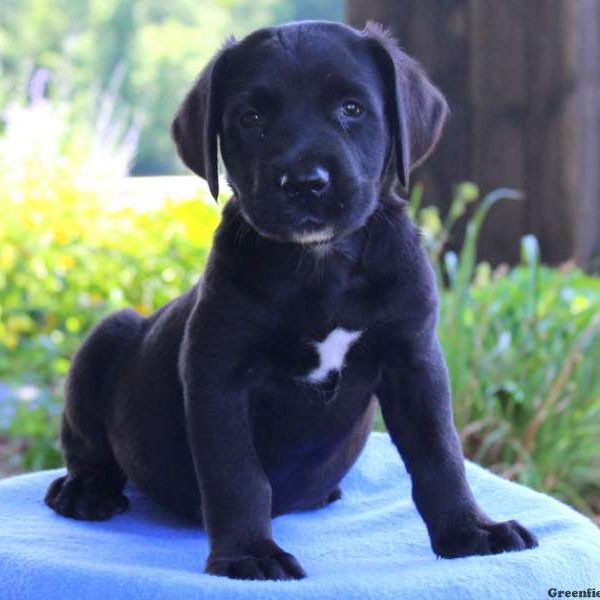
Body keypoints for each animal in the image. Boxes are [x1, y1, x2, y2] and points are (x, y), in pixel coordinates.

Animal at [44, 21, 536, 580]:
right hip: (105, 338)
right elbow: (238, 476)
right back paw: (85, 489)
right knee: (85, 443)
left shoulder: (414, 361)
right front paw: (249, 553)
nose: (305, 183)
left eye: (352, 108)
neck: (321, 266)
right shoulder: (219, 375)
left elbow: (441, 456)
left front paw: (470, 531)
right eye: (251, 117)